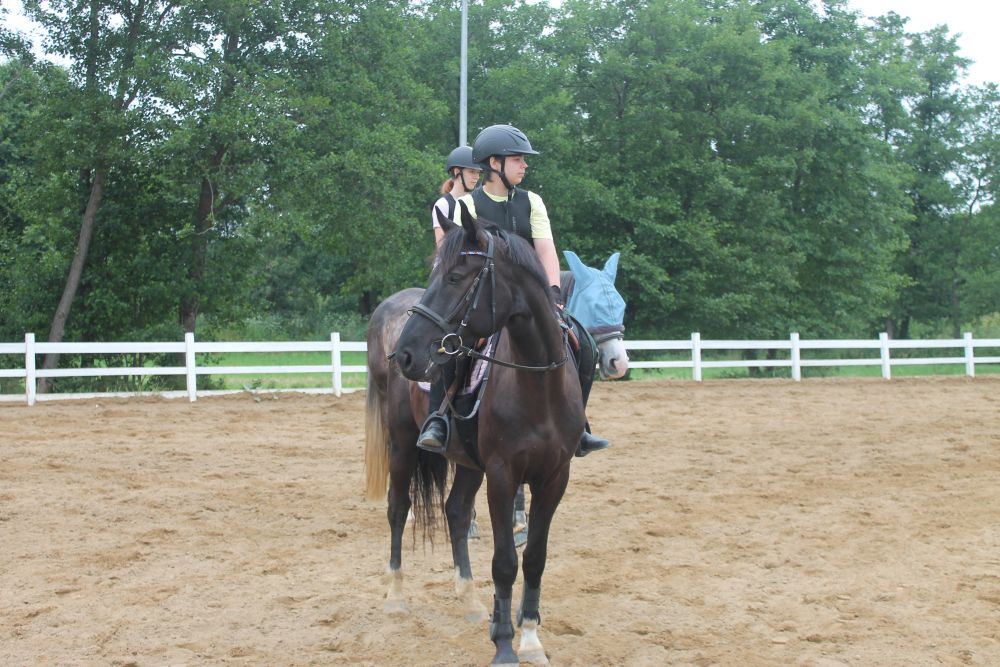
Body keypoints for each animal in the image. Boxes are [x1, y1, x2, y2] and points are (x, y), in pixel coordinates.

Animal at [364, 202, 627, 665]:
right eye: (438, 274)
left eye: (455, 277)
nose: (408, 354)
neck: (537, 383)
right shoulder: (503, 476)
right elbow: (504, 561)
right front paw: (504, 644)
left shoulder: (554, 478)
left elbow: (535, 557)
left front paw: (531, 637)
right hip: (402, 444)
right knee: (398, 509)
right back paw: (395, 596)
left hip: (469, 462)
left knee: (454, 512)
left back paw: (470, 600)